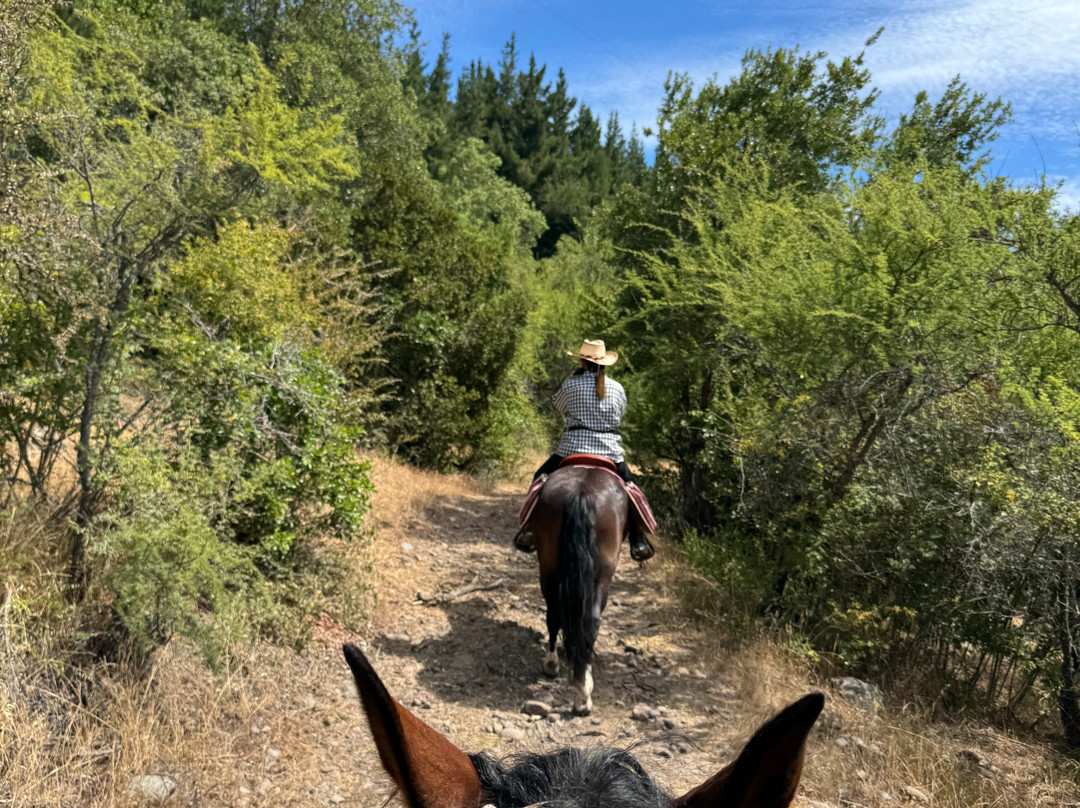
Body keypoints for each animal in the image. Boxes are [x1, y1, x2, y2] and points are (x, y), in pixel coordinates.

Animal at [528, 461, 629, 715]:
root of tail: (582, 492)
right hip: (599, 572)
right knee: (579, 618)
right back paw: (578, 690)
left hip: (549, 565)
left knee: (558, 614)